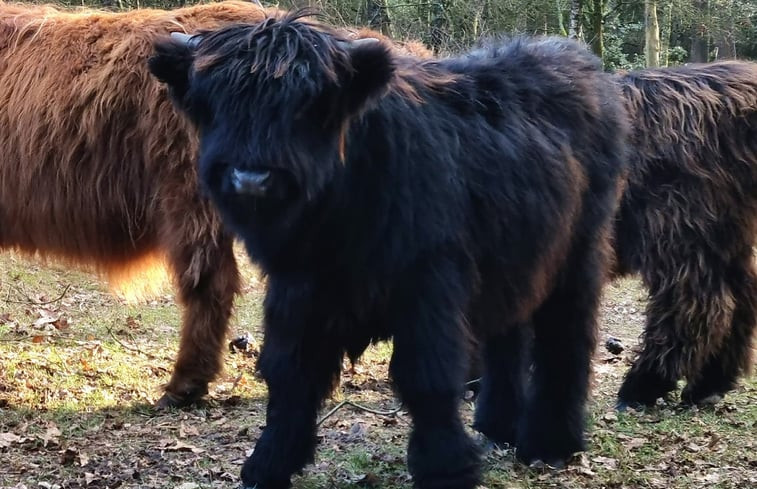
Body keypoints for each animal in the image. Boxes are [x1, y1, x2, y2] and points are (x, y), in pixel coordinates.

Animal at [612, 61, 756, 406]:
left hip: (676, 228)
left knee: (696, 305)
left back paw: (643, 385)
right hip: (726, 235)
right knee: (741, 300)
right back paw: (709, 384)